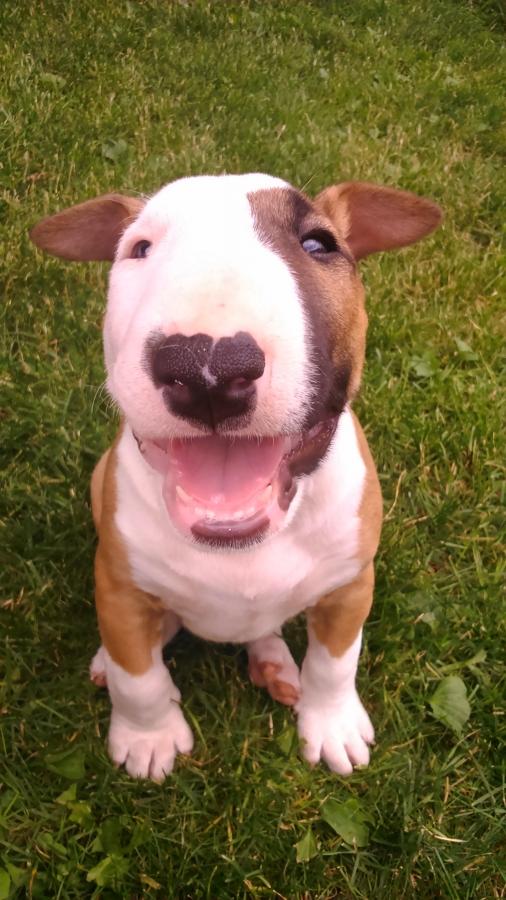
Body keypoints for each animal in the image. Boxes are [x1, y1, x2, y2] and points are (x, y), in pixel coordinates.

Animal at [30, 174, 442, 781]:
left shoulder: (351, 584)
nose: (207, 366)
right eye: (139, 249)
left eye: (319, 244)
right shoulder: (118, 587)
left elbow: (335, 663)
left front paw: (333, 726)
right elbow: (138, 677)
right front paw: (148, 738)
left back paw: (275, 664)